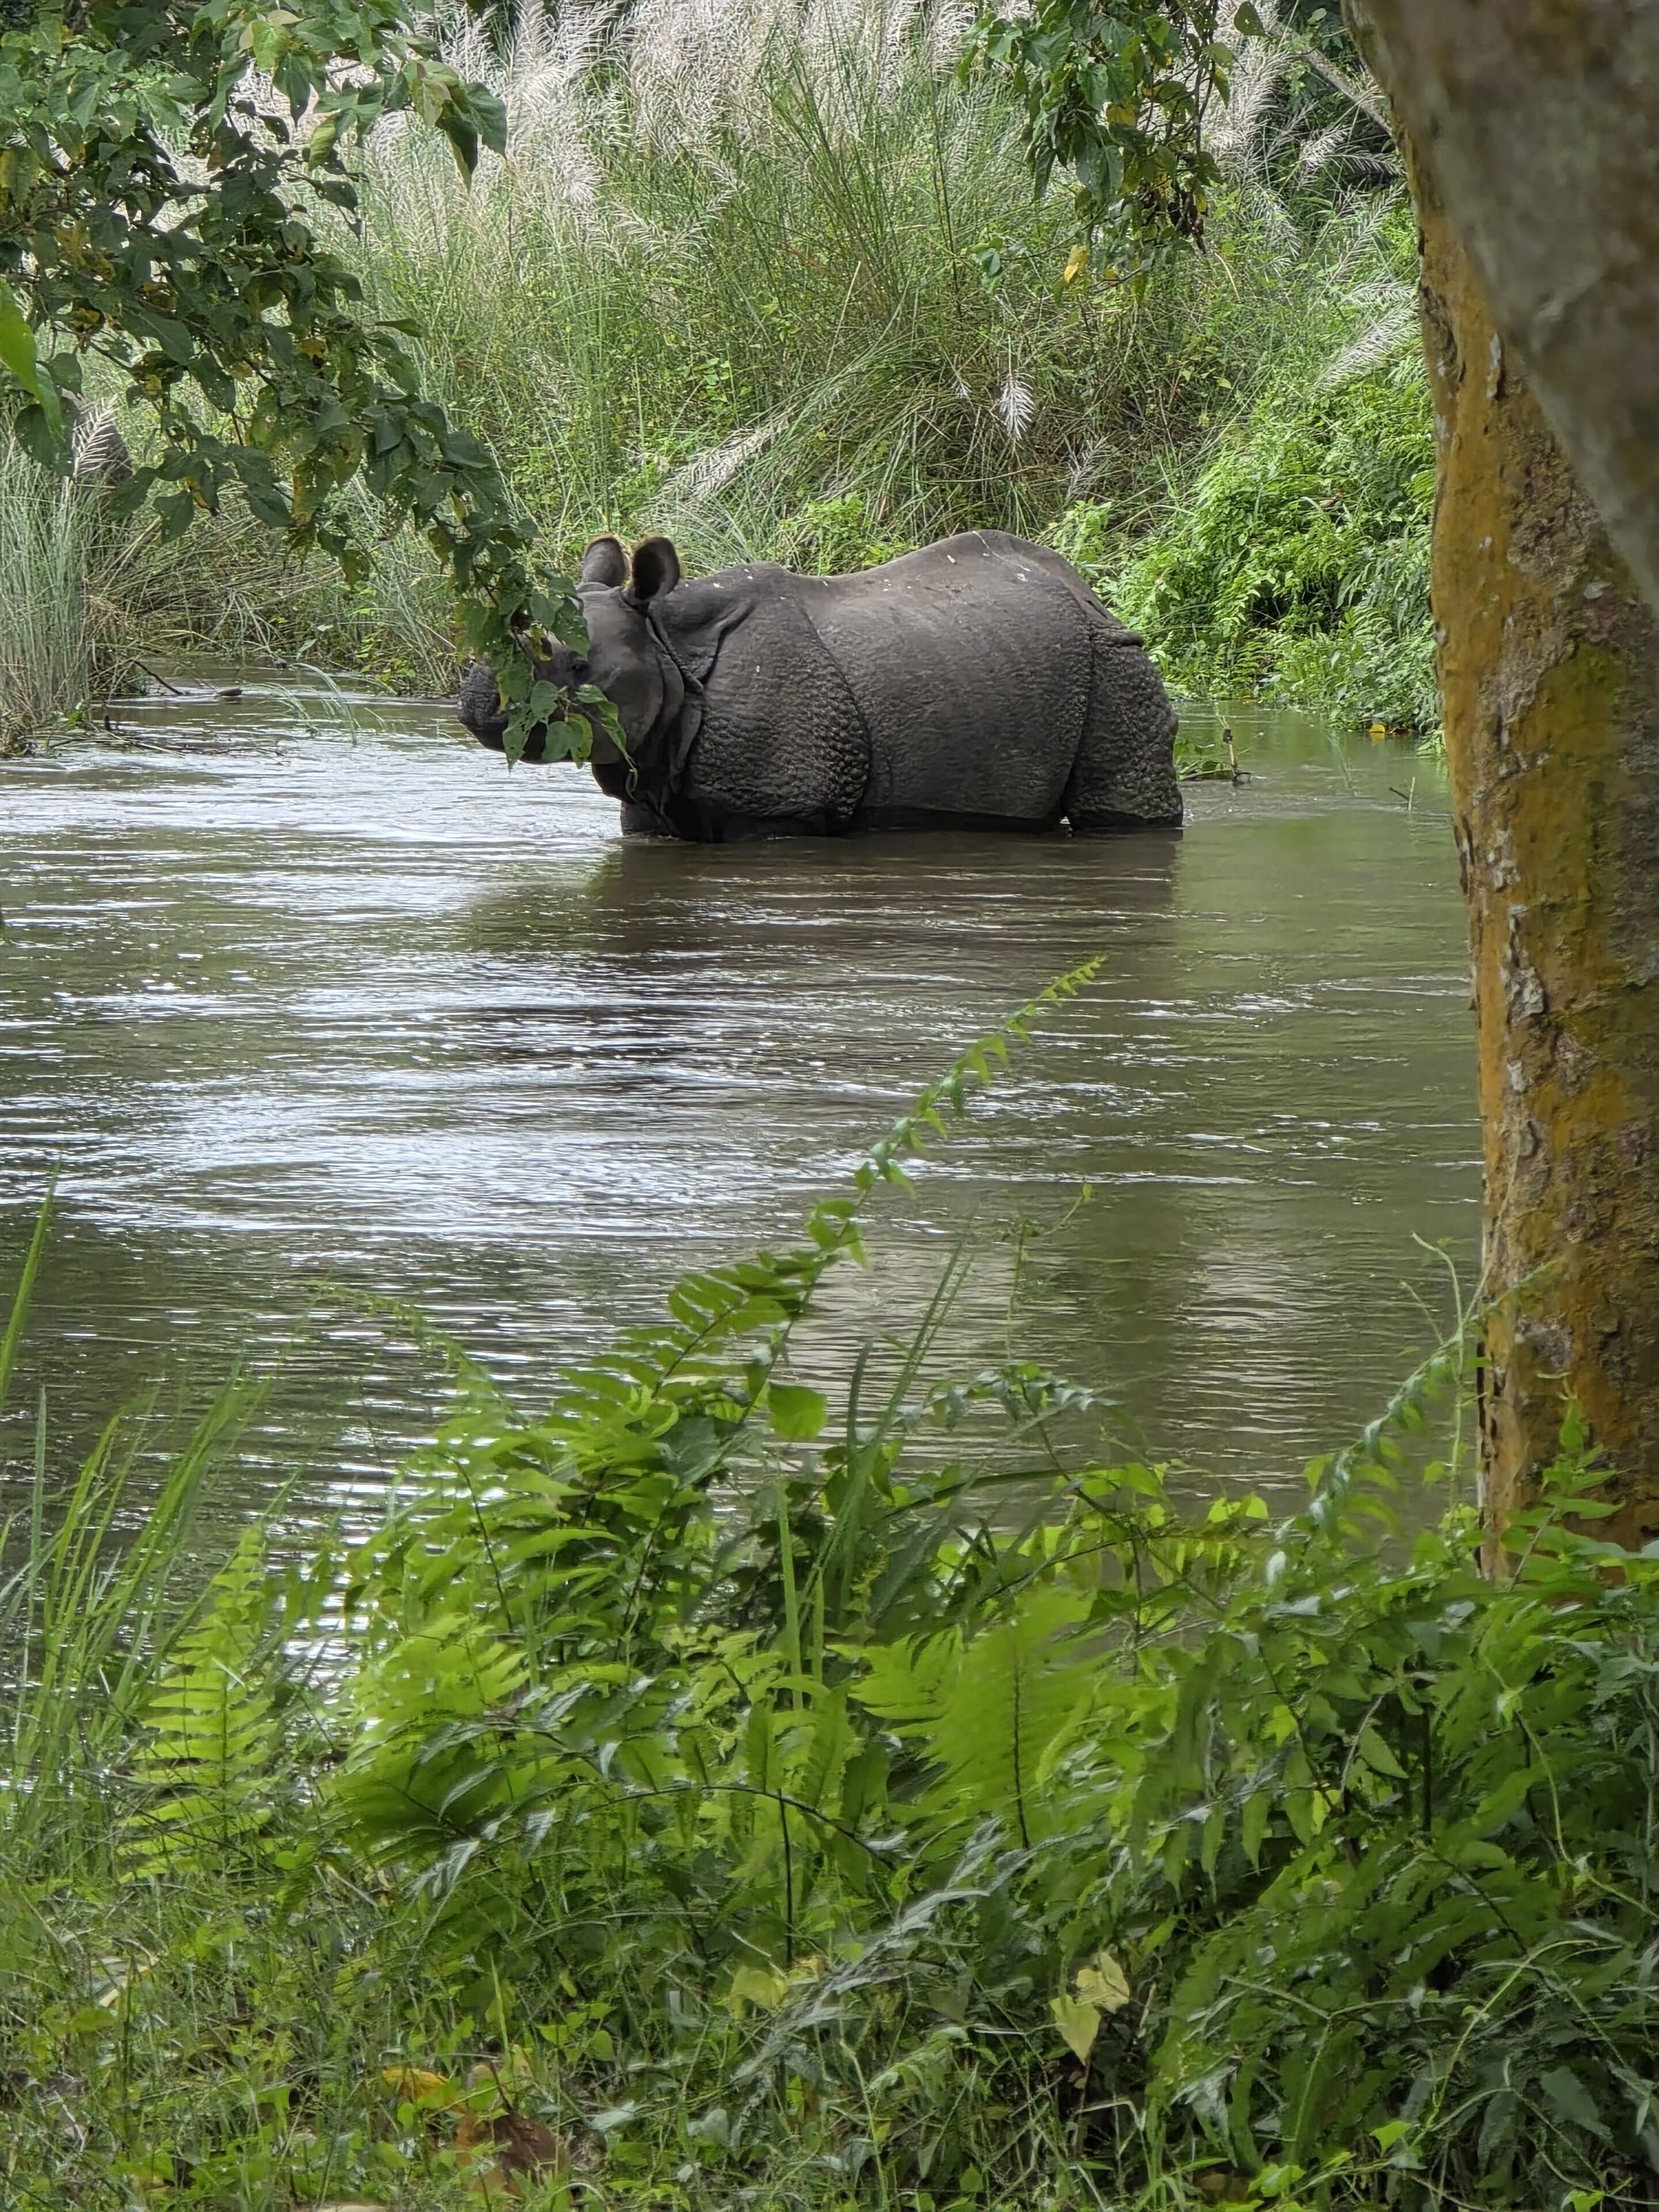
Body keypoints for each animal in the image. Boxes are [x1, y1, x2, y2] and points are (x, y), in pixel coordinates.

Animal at [457, 529, 1181, 841]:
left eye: (577, 666)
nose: (475, 697)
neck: (667, 643)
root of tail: (1091, 596)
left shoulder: (779, 807)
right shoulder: (649, 787)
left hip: (1115, 658)